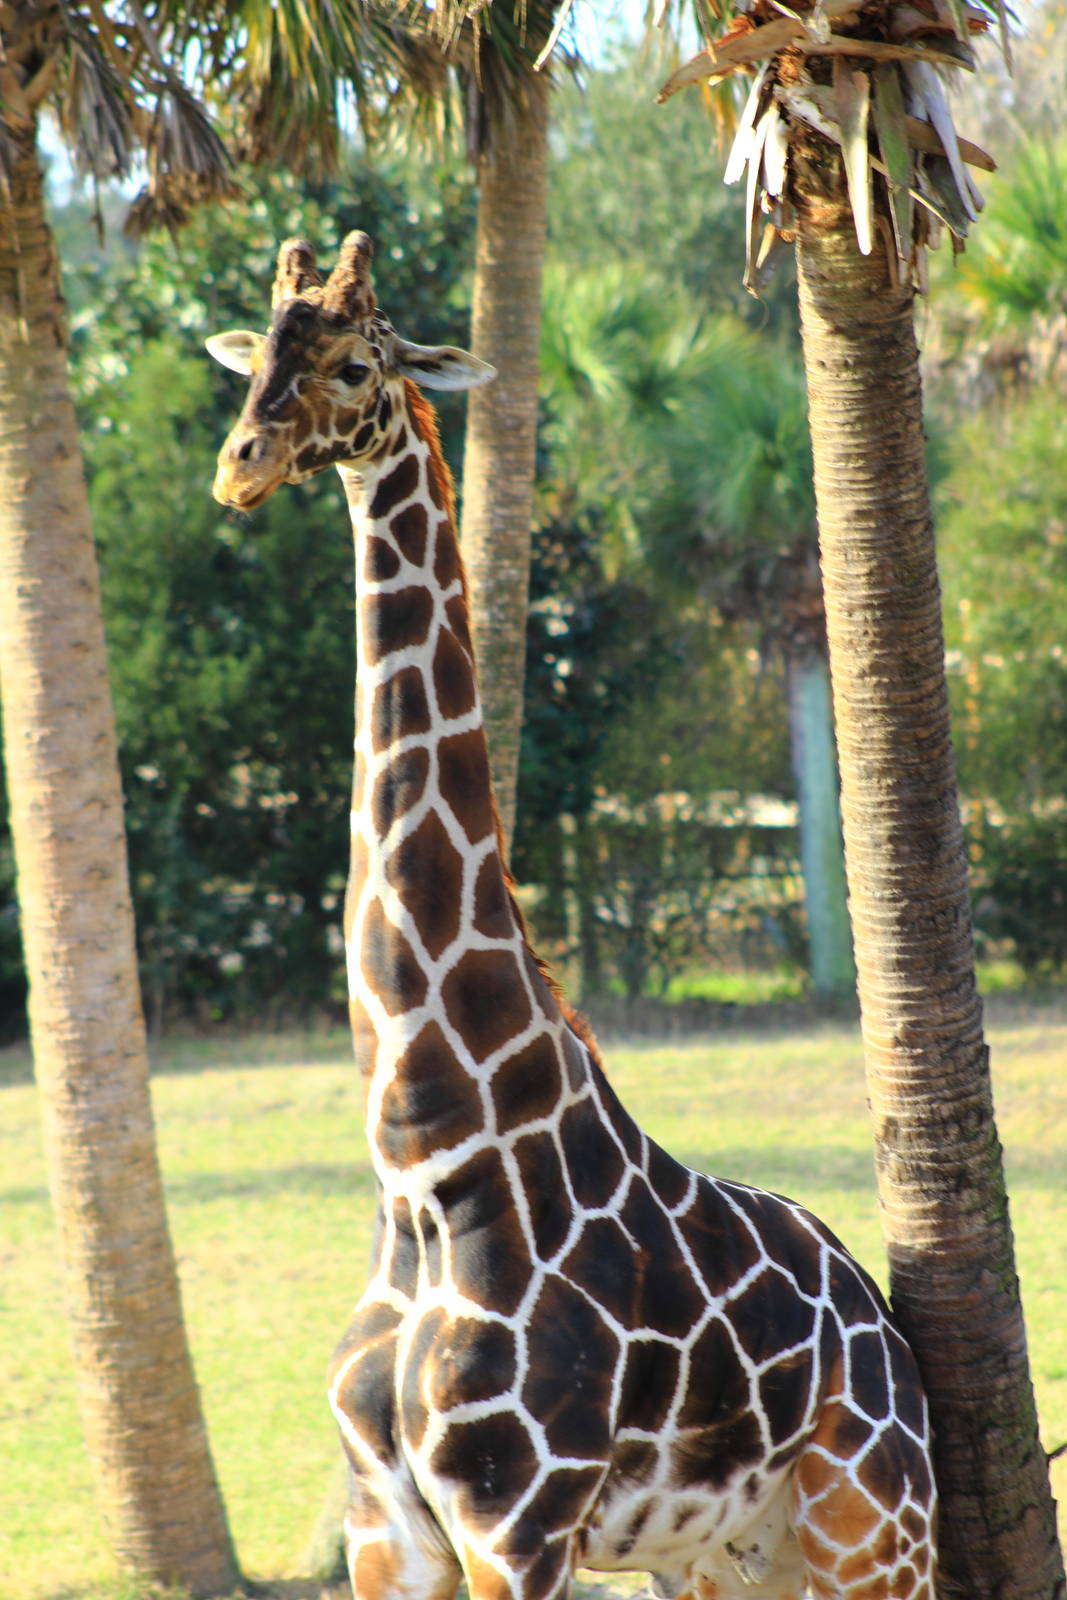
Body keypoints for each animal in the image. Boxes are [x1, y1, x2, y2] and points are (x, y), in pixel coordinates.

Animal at [207, 231, 937, 1600]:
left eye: (351, 362)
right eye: (253, 354)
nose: (240, 465)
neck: (426, 1168)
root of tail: (882, 1321)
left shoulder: (517, 1516)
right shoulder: (389, 1523)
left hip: (875, 1529)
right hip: (719, 1555)